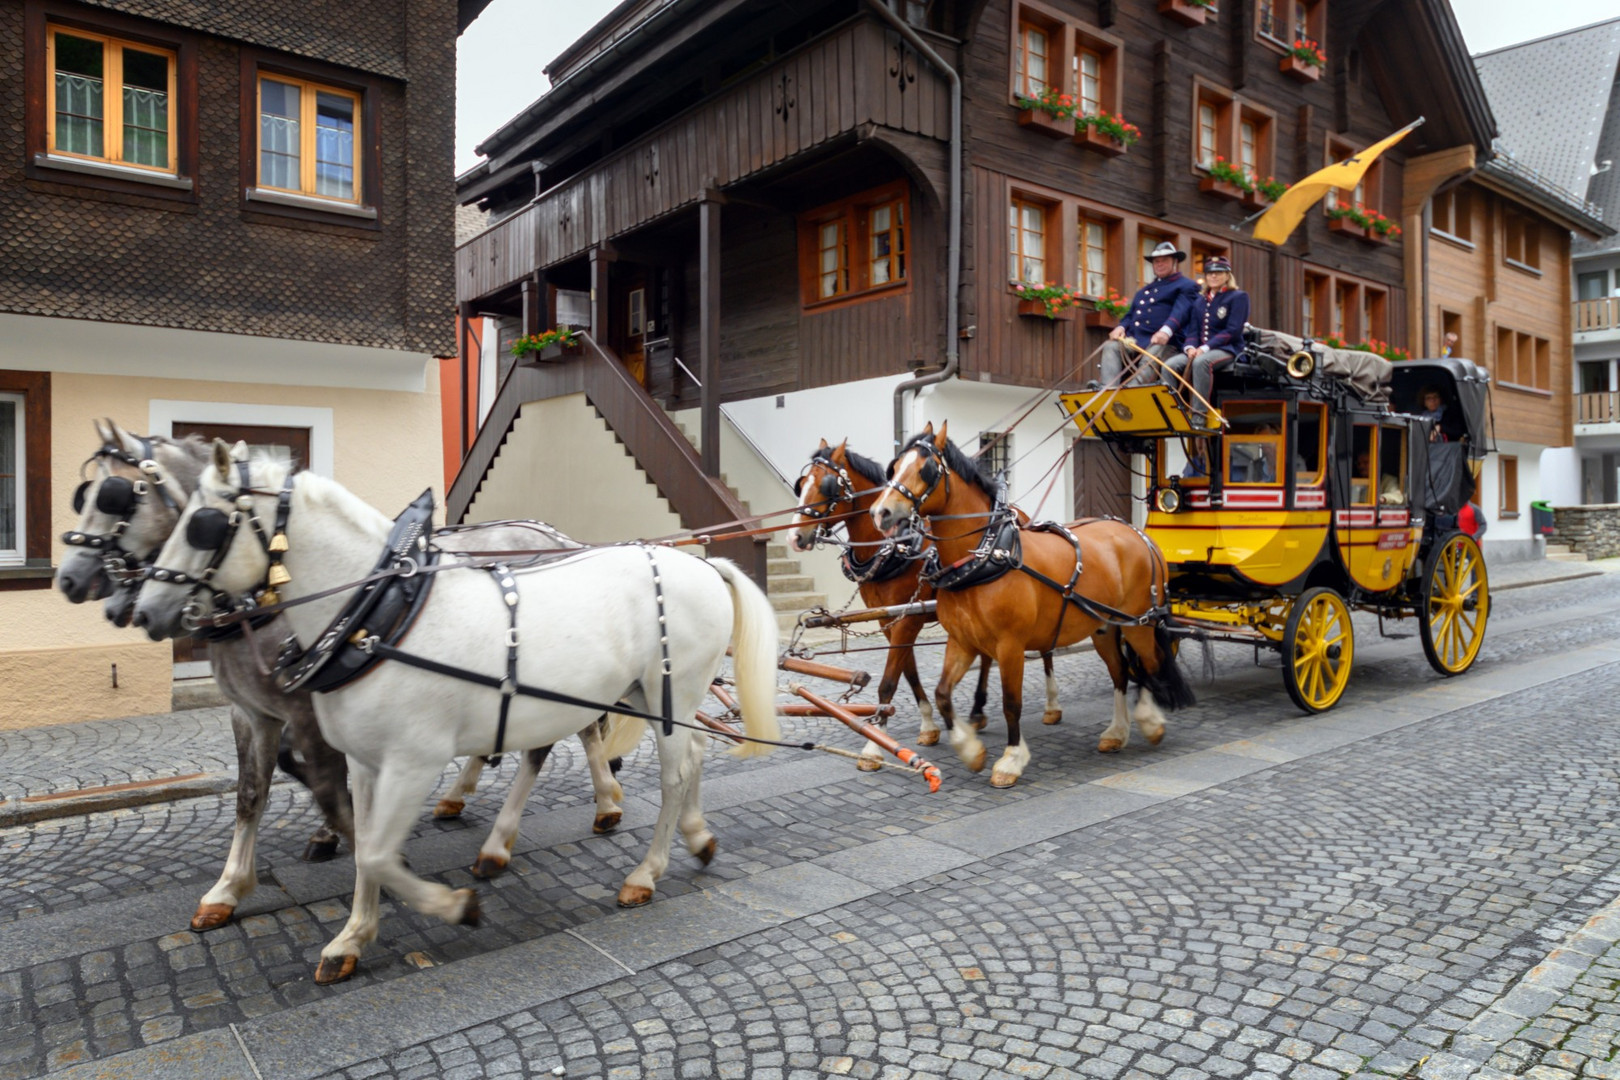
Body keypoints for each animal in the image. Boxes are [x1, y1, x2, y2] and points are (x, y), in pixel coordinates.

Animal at [132, 440, 777, 990]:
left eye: (201, 522)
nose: (142, 609)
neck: (381, 617)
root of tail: (704, 565)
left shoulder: (412, 763)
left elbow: (377, 852)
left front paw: (452, 907)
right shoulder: (363, 762)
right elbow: (363, 845)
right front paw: (351, 939)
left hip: (673, 693)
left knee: (672, 774)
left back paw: (644, 873)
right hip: (648, 697)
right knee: (693, 755)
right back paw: (698, 838)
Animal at [787, 440, 1062, 767]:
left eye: (827, 486)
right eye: (802, 484)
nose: (795, 537)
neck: (894, 548)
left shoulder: (908, 619)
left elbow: (889, 681)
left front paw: (873, 747)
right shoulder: (889, 620)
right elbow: (908, 672)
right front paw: (929, 725)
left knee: (1045, 648)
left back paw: (1051, 706)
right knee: (986, 655)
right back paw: (977, 711)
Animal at [868, 427, 1198, 790]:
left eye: (925, 469)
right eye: (894, 466)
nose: (881, 512)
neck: (986, 555)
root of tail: (1139, 534)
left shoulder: (1010, 645)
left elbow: (1012, 703)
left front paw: (1011, 761)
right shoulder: (962, 642)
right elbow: (942, 693)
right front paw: (971, 750)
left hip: (1137, 623)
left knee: (1150, 664)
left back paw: (1150, 722)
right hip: (1103, 627)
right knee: (1121, 671)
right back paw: (1117, 732)